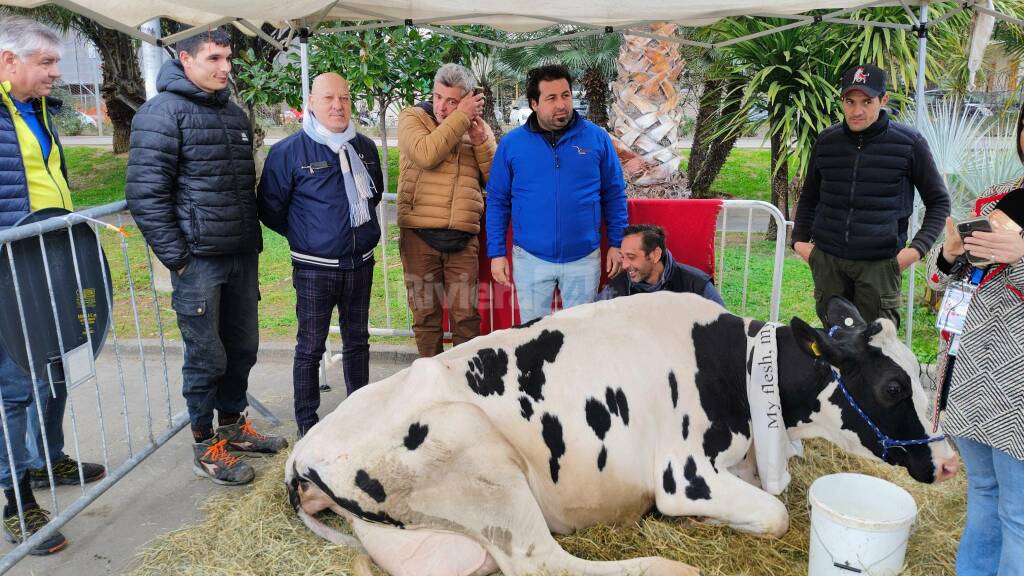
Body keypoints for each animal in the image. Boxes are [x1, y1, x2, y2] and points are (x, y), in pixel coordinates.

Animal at [286, 291, 958, 573]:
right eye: (893, 388)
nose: (950, 463)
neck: (737, 368)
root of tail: (303, 452)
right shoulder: (683, 476)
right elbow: (774, 514)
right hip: (479, 459)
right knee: (542, 563)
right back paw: (666, 568)